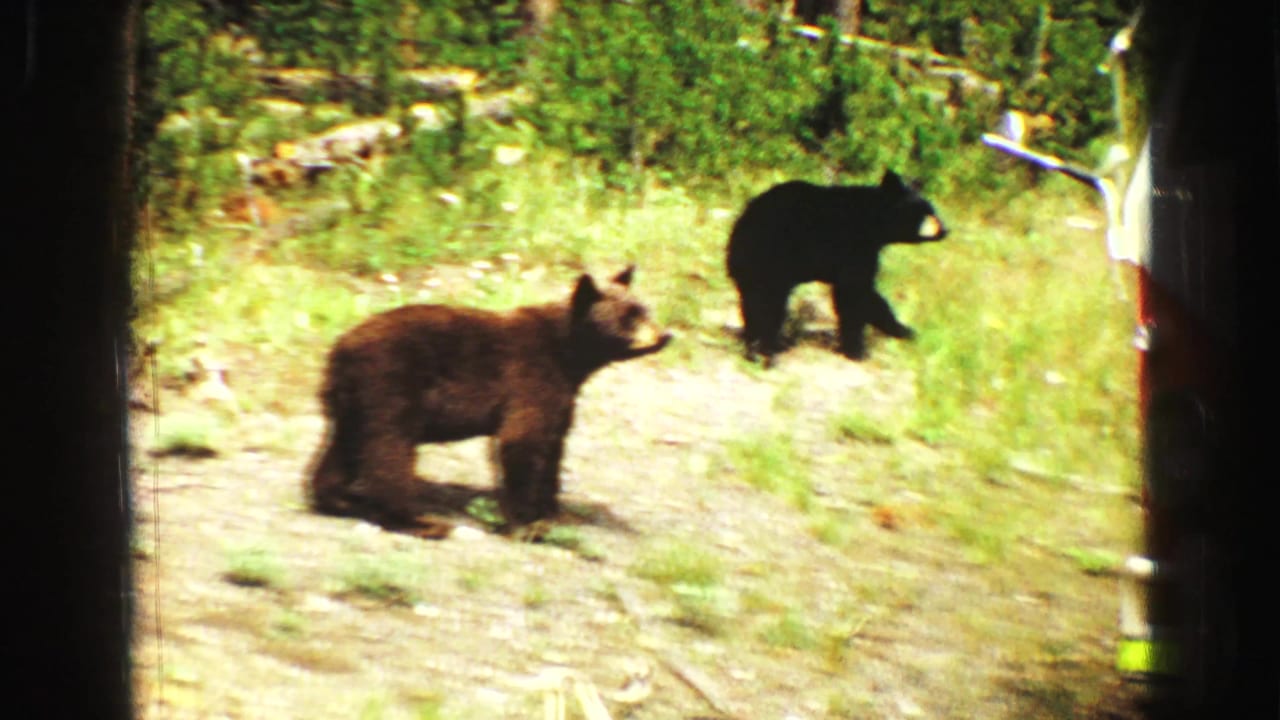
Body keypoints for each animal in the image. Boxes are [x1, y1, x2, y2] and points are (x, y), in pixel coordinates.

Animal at [306, 265, 671, 531]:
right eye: (629, 317)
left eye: (645, 309)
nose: (665, 335)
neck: (570, 357)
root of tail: (340, 349)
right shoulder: (532, 377)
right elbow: (522, 440)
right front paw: (528, 523)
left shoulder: (563, 395)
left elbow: (554, 445)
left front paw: (554, 511)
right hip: (390, 387)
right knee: (389, 450)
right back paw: (419, 521)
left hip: (353, 401)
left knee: (343, 447)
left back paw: (336, 500)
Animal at [726, 169, 948, 366]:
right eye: (929, 213)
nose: (946, 230)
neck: (872, 222)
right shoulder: (854, 249)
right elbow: (854, 294)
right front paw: (858, 350)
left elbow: (866, 296)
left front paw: (905, 331)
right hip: (772, 263)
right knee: (769, 307)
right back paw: (766, 353)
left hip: (750, 272)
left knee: (751, 305)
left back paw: (755, 346)